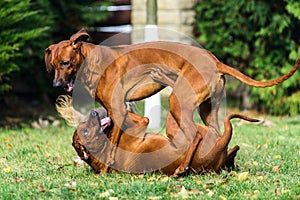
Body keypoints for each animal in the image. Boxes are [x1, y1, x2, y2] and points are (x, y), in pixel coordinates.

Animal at [72, 108, 258, 176]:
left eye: (83, 127)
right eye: (85, 131)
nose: (94, 112)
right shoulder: (142, 122)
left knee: (233, 148)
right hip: (173, 123)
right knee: (197, 135)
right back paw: (182, 168)